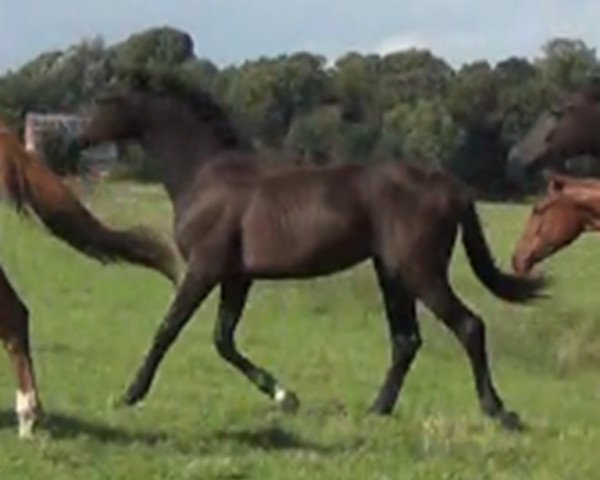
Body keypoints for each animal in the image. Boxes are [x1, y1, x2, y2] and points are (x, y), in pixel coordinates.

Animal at [77, 74, 548, 432]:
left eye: (105, 101)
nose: (77, 139)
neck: (206, 176)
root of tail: (451, 185)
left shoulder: (205, 268)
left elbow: (168, 329)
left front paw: (130, 394)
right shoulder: (237, 276)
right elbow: (223, 340)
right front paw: (286, 396)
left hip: (421, 271)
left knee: (468, 326)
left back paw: (499, 412)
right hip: (391, 272)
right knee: (406, 340)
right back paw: (378, 409)